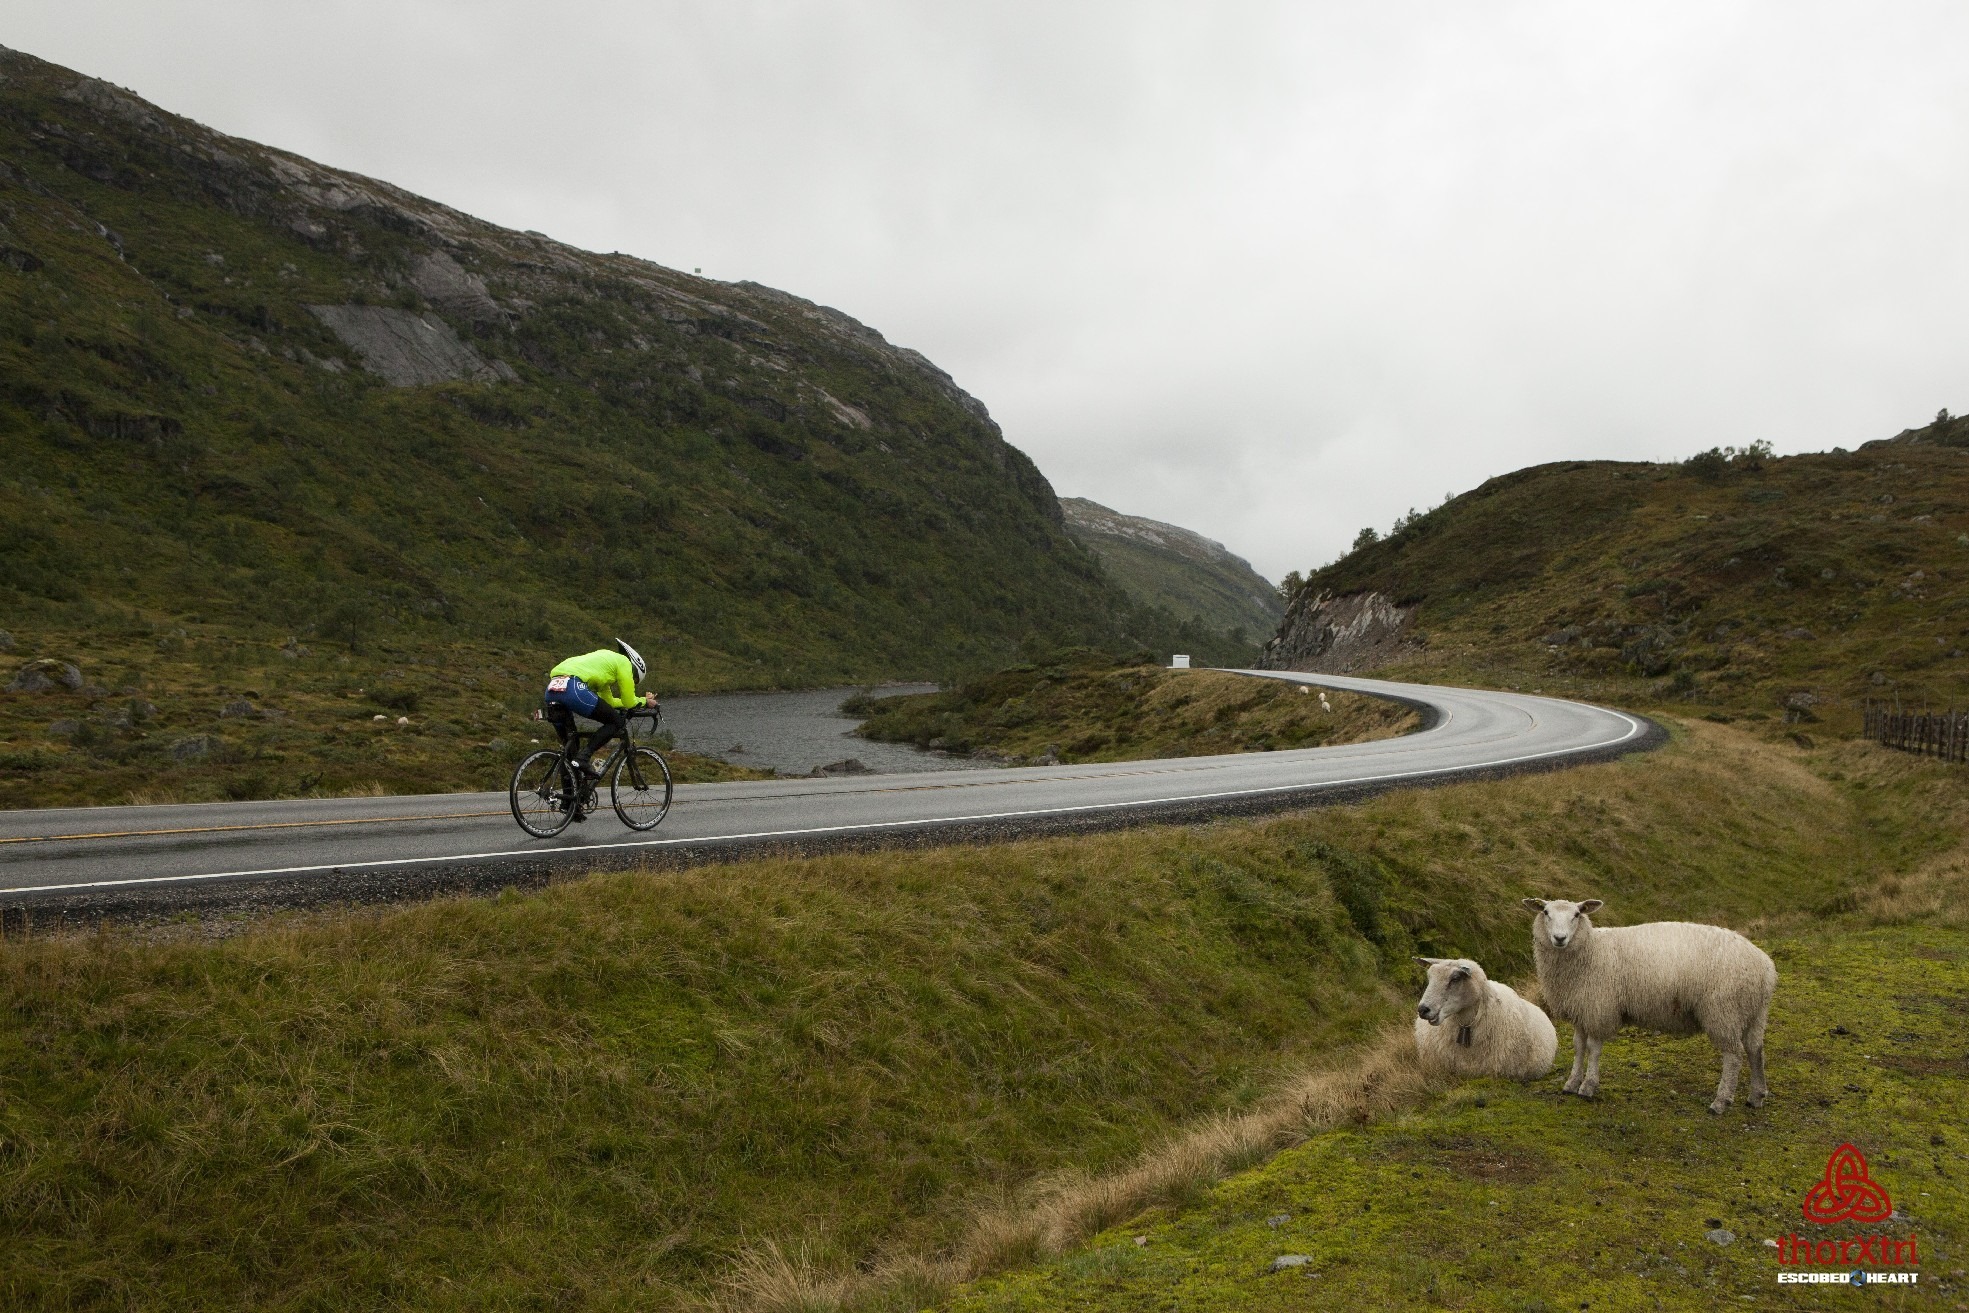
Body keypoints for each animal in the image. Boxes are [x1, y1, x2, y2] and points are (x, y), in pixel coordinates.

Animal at [1520, 897, 1787, 1118]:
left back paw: (1720, 1102)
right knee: (1755, 1049)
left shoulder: (1599, 1007)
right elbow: (1578, 1047)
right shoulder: (1582, 1010)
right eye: (1545, 912)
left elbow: (1593, 1049)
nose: (1560, 938)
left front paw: (1587, 1087)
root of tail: (1766, 967)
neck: (1591, 950)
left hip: (1724, 1010)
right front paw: (1571, 1083)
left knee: (1734, 1055)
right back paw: (1756, 1096)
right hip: (1754, 1012)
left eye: (1576, 914)